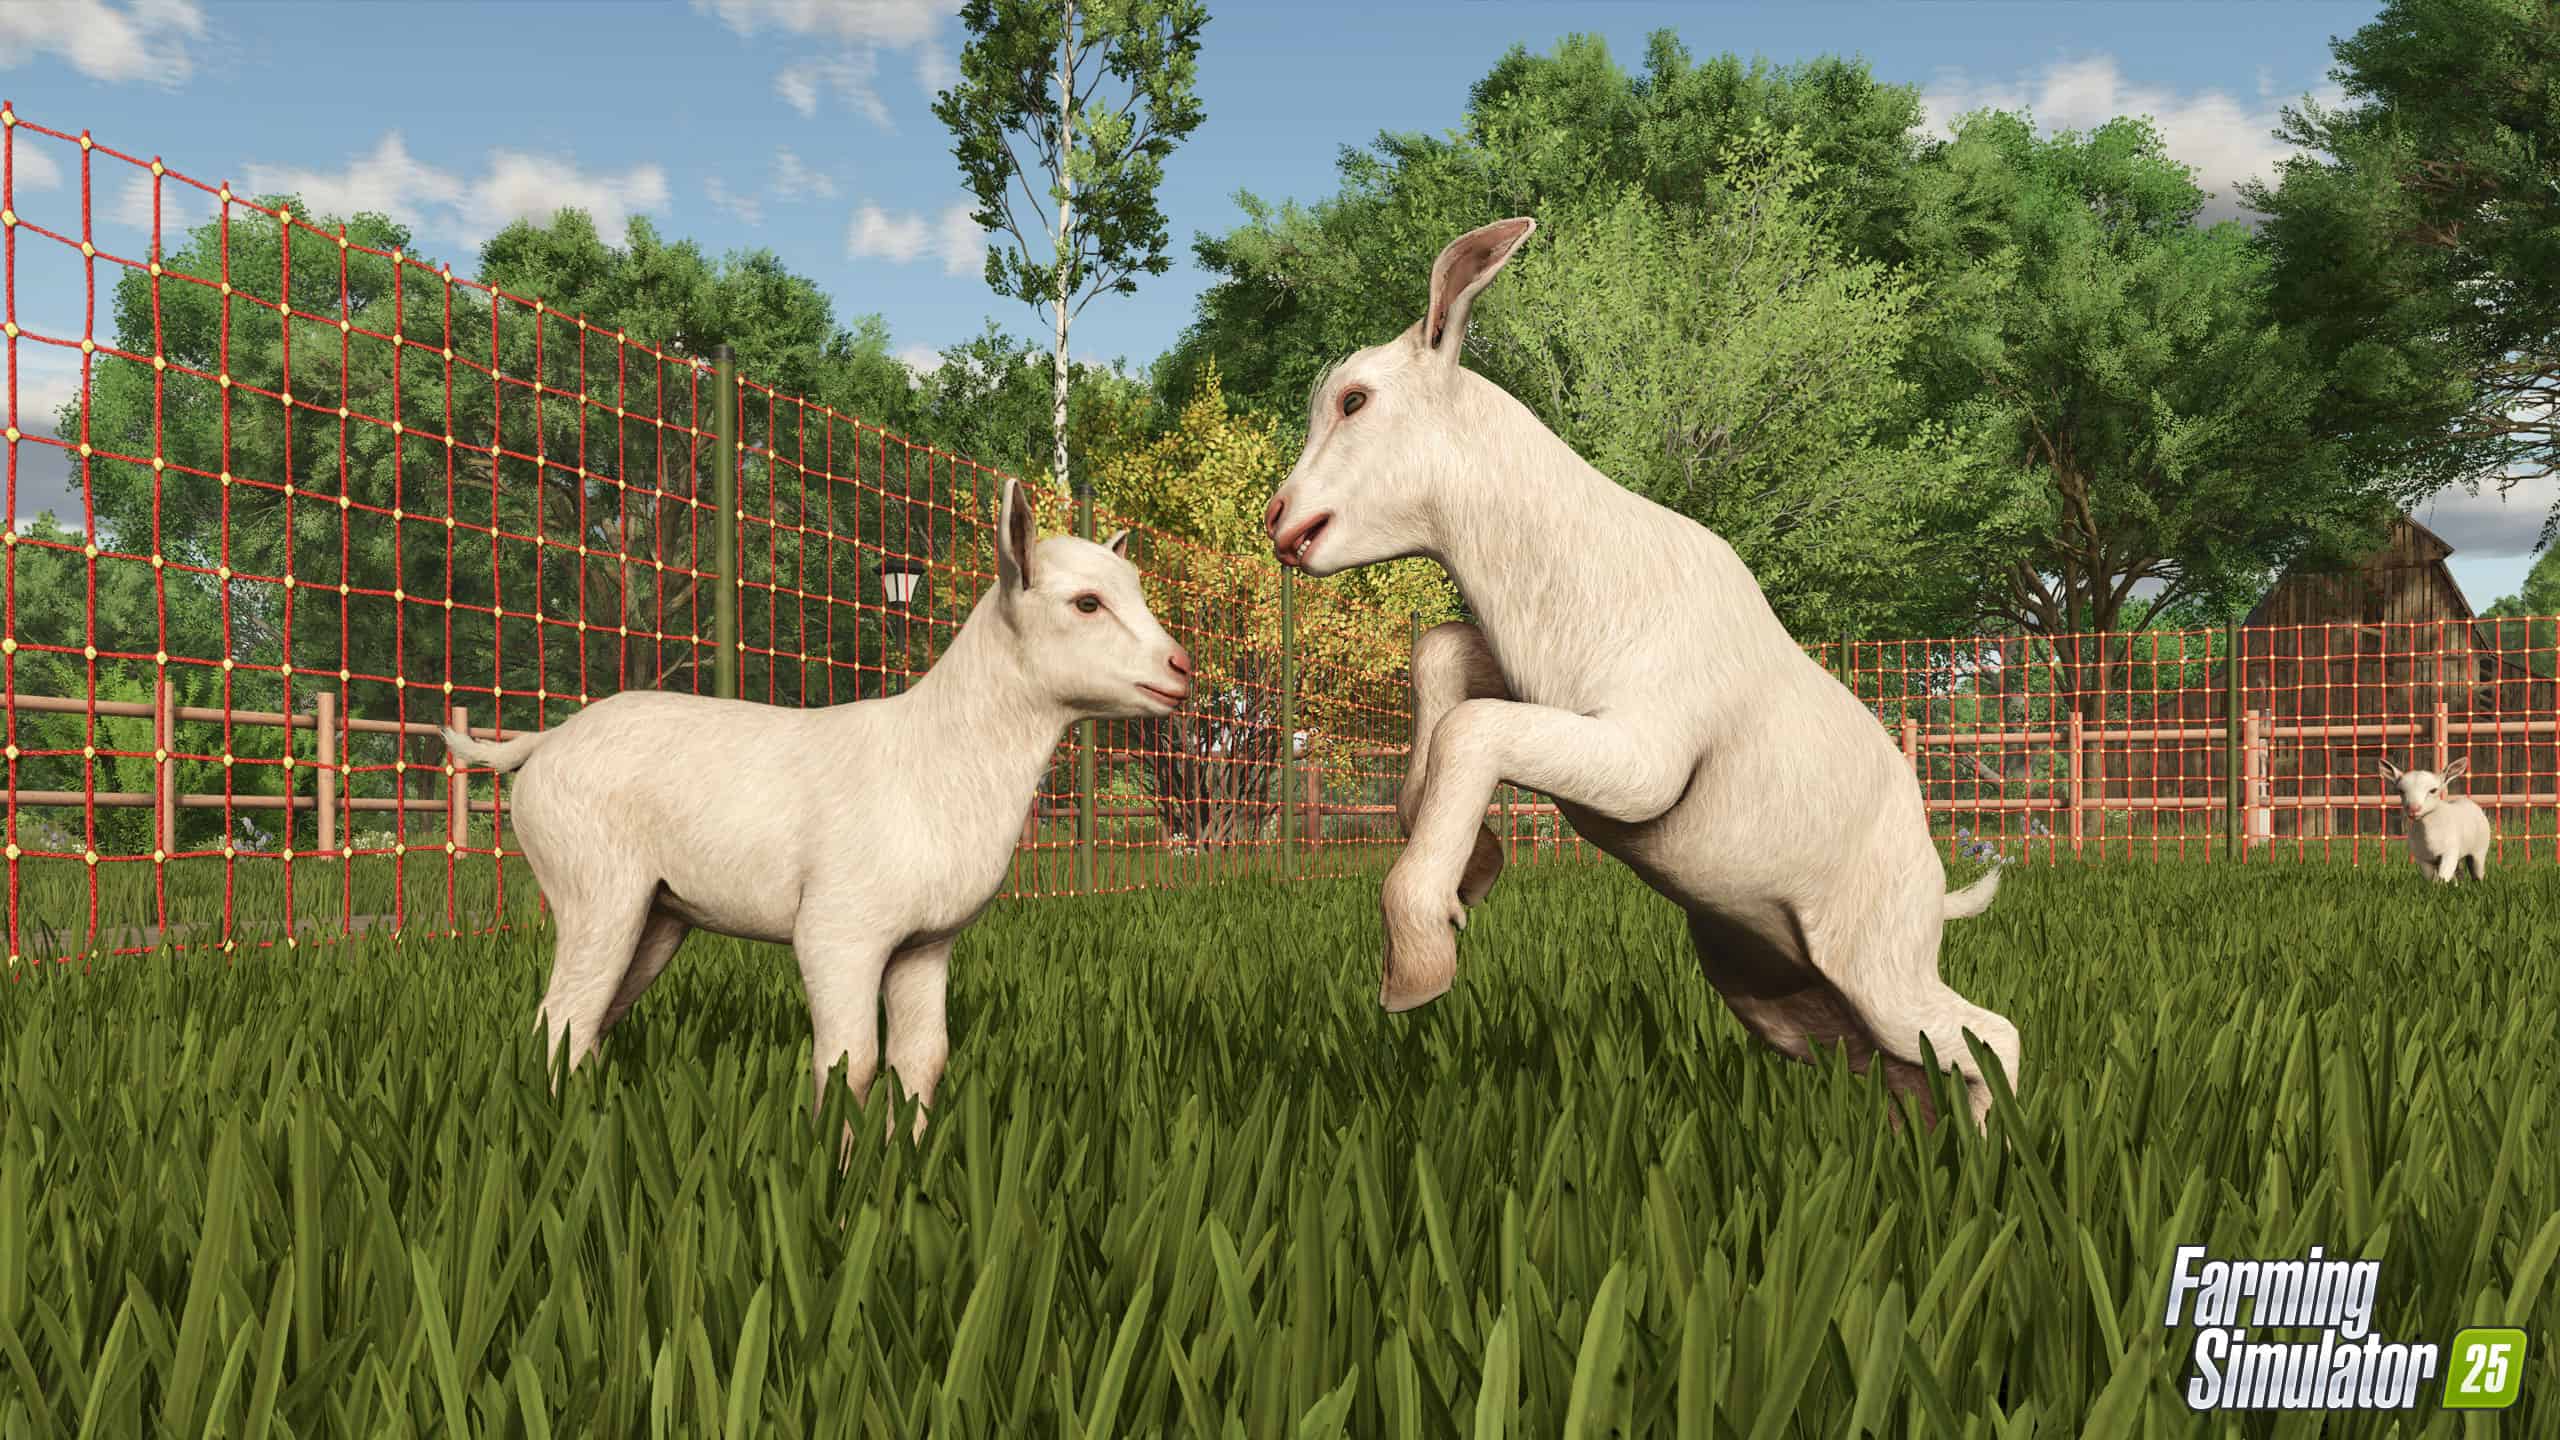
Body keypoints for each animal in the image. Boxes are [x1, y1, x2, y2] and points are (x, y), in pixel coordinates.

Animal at [441, 478, 1194, 1145]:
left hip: (658, 915)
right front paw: (834, 1175)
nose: (1181, 668)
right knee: (561, 1019)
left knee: (591, 1023)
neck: (935, 756)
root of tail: (541, 744)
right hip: (594, 888)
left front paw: (903, 1169)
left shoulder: (926, 945)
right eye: (1087, 603)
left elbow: (921, 1059)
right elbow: (849, 1063)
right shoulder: (838, 932)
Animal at [1262, 217, 2018, 1132]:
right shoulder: (1532, 678)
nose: (1279, 521)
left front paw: (1418, 962)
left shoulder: (1644, 763)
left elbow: (1473, 726)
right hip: (1790, 993)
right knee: (1911, 1071)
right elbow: (1440, 655)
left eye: (1355, 400)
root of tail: (1935, 884)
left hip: (1878, 959)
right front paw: (1472, 866)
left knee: (1990, 1035)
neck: (1589, 563)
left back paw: (1999, 1159)